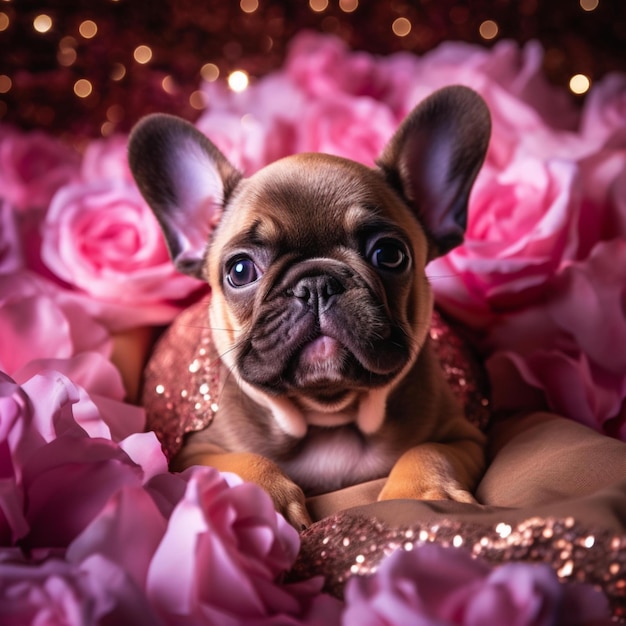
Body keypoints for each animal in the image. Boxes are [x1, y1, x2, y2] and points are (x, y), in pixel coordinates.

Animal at [130, 85, 492, 528]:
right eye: (240, 270)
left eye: (390, 254)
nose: (317, 283)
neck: (329, 416)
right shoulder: (195, 452)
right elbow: (242, 462)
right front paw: (258, 501)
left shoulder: (463, 434)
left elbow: (428, 451)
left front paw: (423, 494)